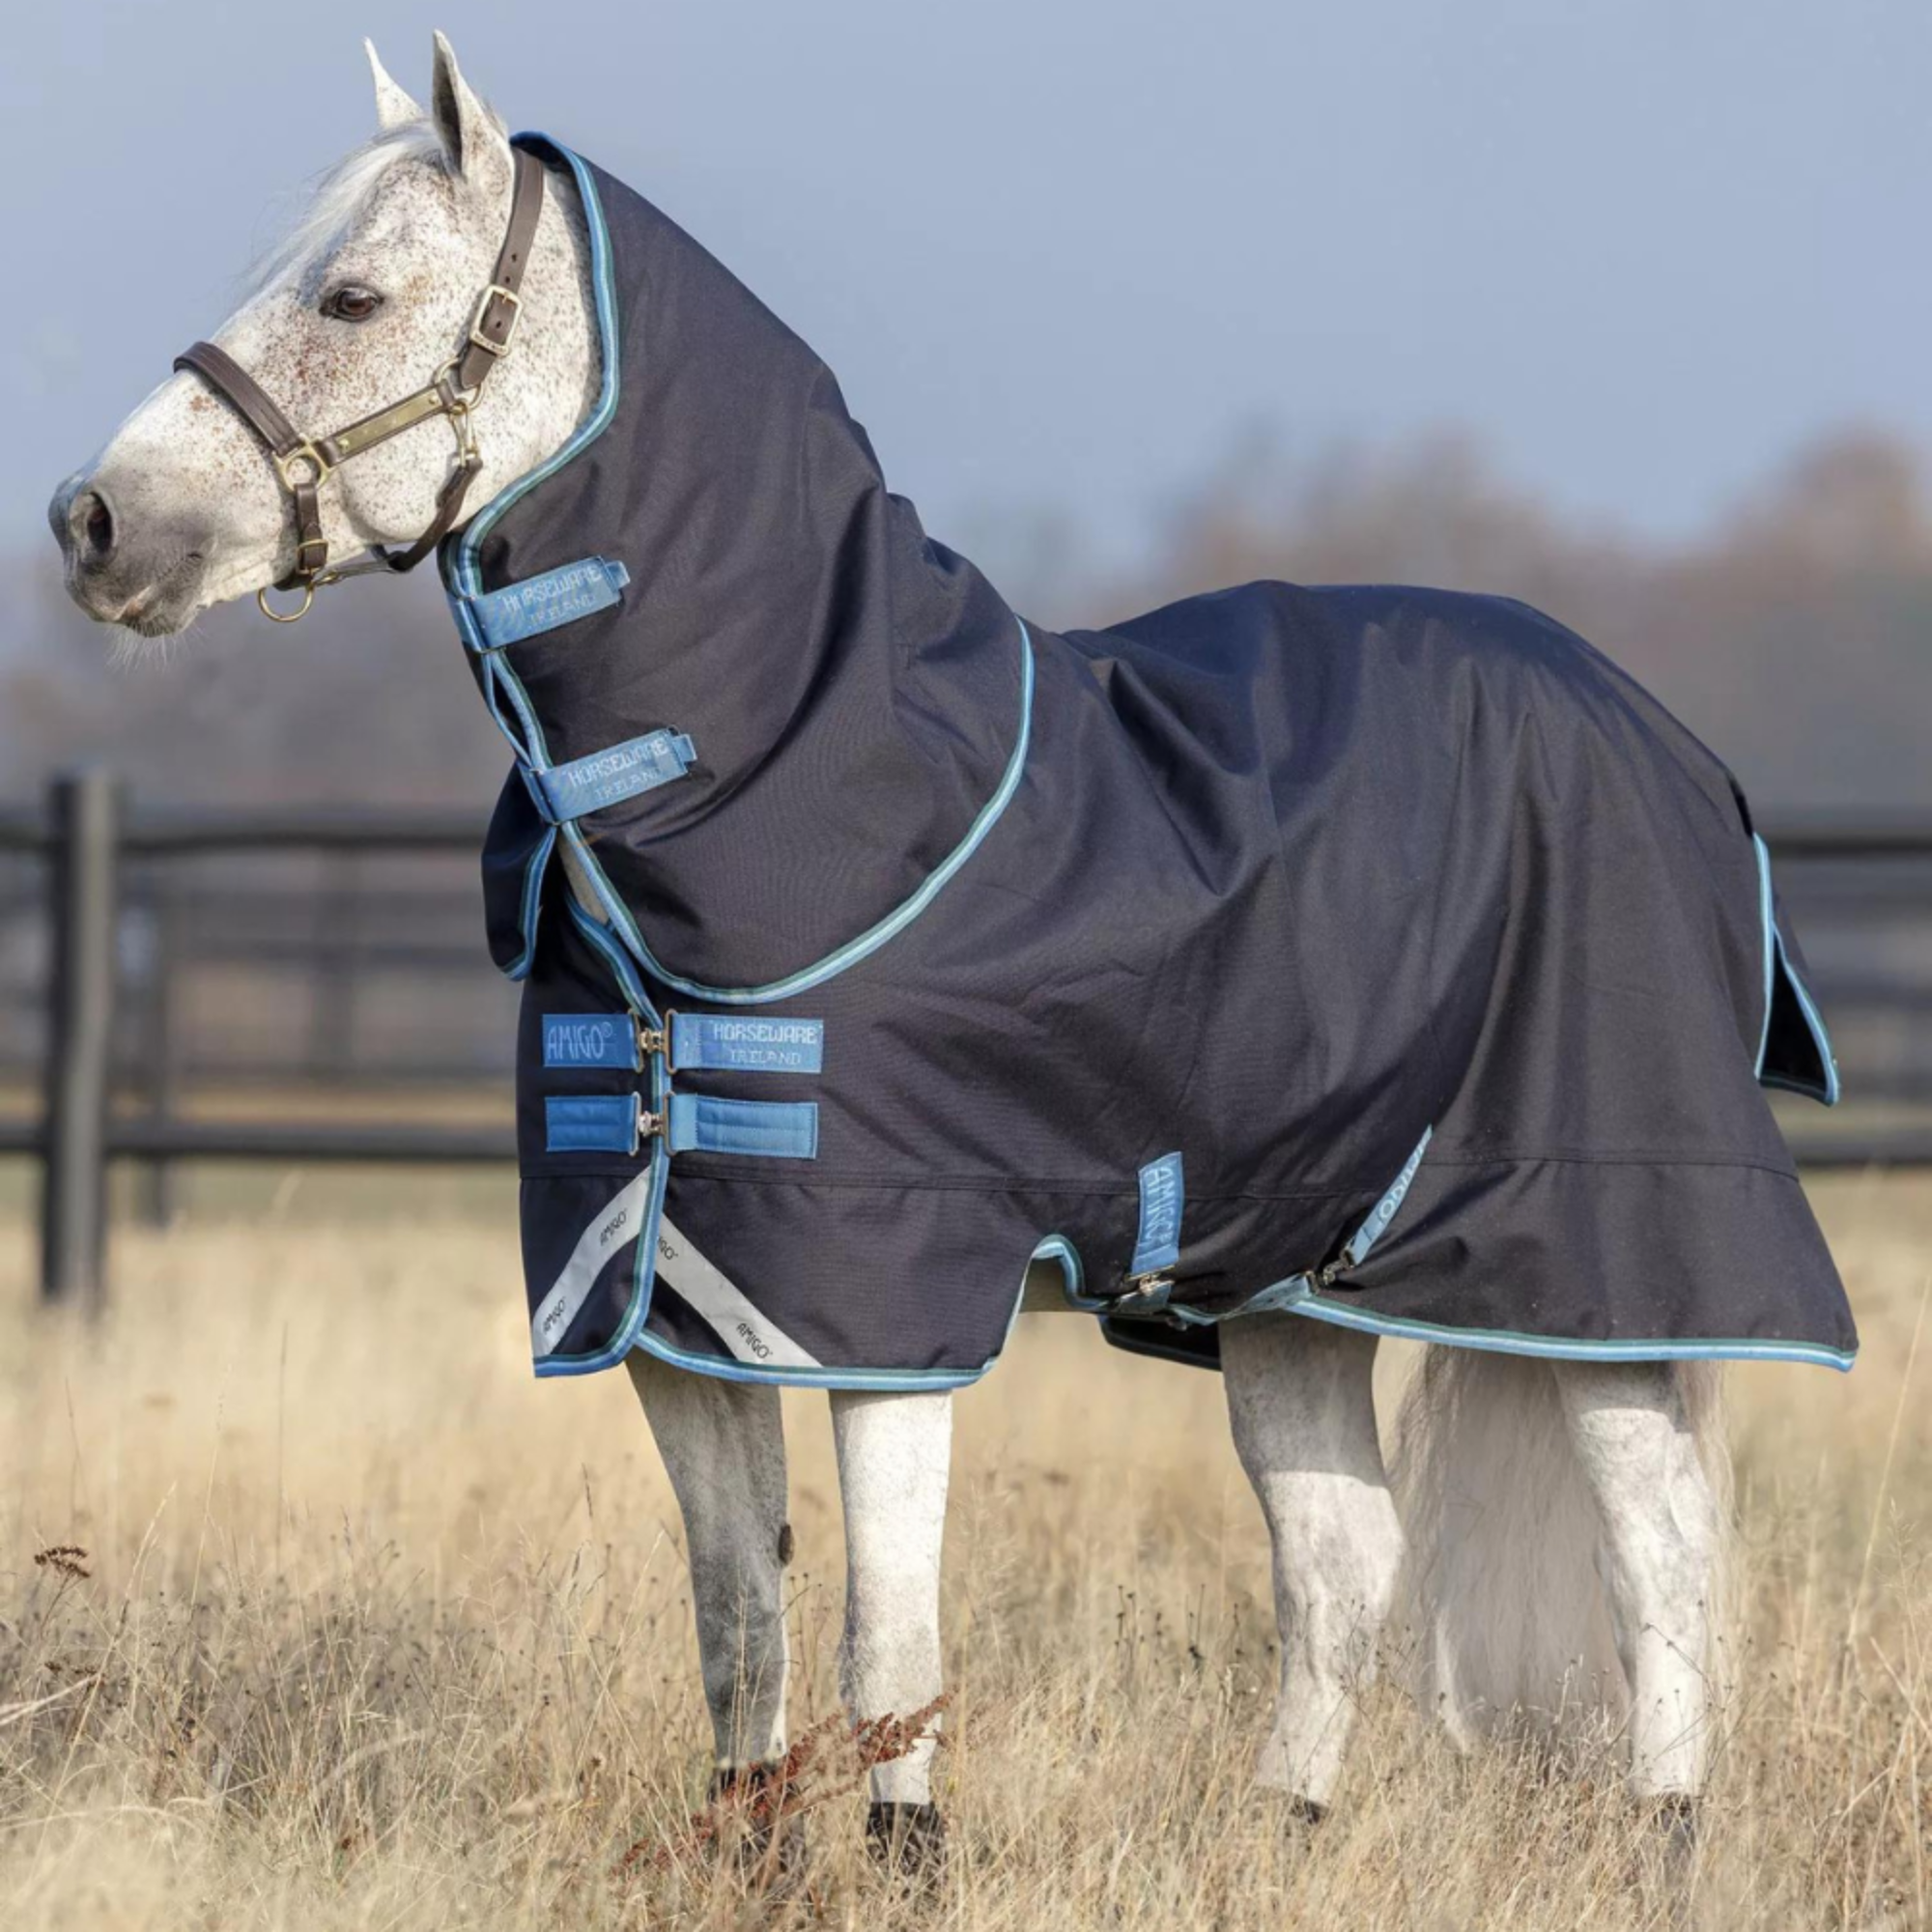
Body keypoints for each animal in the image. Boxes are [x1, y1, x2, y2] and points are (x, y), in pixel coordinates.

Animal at [49, 33, 1853, 1876]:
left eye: (351, 297)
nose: (94, 522)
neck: (819, 782)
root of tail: (1664, 739)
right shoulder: (675, 1309)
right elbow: (736, 1615)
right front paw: (753, 1857)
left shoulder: (884, 1304)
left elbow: (886, 1637)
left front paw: (906, 1861)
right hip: (1292, 1282)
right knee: (1341, 1561)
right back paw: (1285, 1833)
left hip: (1611, 1257)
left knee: (1661, 1553)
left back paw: (1666, 1840)